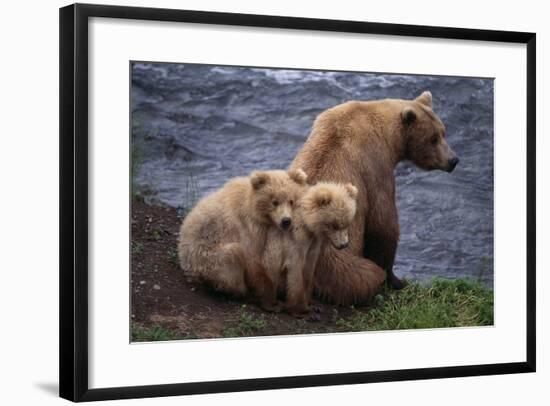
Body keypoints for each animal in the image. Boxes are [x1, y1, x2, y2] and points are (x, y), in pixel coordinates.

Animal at [294, 90, 462, 302]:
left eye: (443, 132)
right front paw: (397, 280)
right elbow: (383, 223)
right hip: (338, 264)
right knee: (364, 274)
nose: (453, 160)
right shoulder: (375, 166)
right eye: (433, 138)